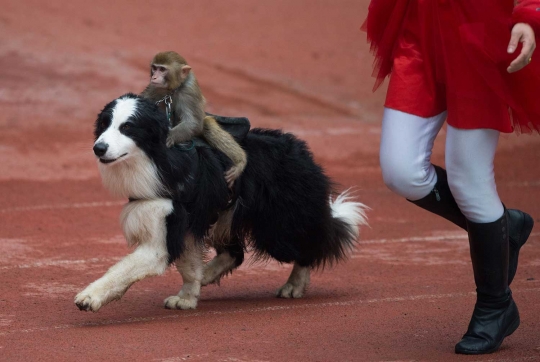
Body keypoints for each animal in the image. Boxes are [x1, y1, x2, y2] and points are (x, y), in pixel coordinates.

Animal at [74, 93, 370, 312]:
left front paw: (89, 297)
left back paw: (294, 286)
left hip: (277, 229)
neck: (157, 159)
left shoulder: (164, 230)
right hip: (227, 216)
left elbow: (123, 268)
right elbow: (188, 265)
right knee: (235, 253)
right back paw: (207, 274)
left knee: (309, 245)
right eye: (104, 124)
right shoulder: (183, 222)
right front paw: (187, 297)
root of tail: (303, 152)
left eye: (128, 127)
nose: (98, 148)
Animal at [140, 52, 248, 188]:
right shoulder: (154, 89)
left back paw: (239, 161)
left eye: (162, 69)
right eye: (154, 68)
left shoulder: (189, 90)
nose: (154, 77)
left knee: (207, 125)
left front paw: (169, 137)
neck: (173, 89)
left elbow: (194, 123)